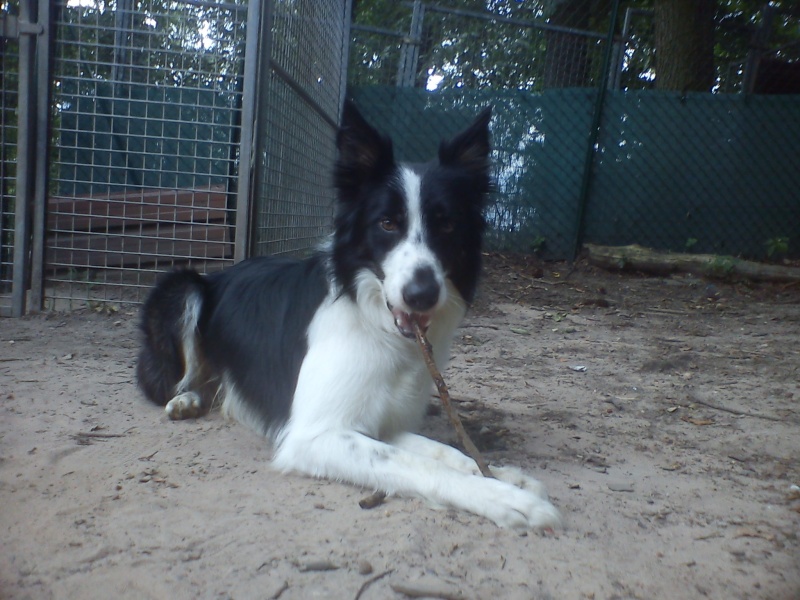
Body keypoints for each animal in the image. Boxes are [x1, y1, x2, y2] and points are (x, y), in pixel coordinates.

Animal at [138, 103, 560, 528]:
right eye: (387, 223)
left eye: (447, 224)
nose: (422, 295)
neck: (379, 328)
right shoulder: (313, 435)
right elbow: (419, 465)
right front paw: (505, 498)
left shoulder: (385, 423)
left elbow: (445, 452)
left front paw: (504, 475)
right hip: (182, 288)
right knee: (174, 378)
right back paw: (185, 400)